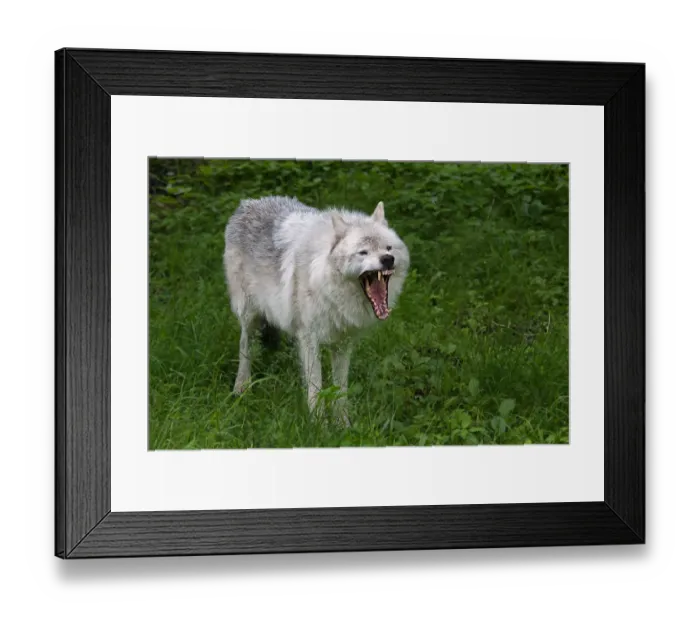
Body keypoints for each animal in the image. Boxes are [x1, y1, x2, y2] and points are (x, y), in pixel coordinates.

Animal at [223, 195, 409, 424]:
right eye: (363, 252)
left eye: (388, 248)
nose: (387, 259)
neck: (326, 282)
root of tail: (248, 202)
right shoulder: (309, 337)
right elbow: (316, 385)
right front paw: (317, 423)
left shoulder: (342, 343)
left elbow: (340, 388)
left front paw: (342, 423)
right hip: (249, 315)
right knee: (245, 346)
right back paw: (241, 387)